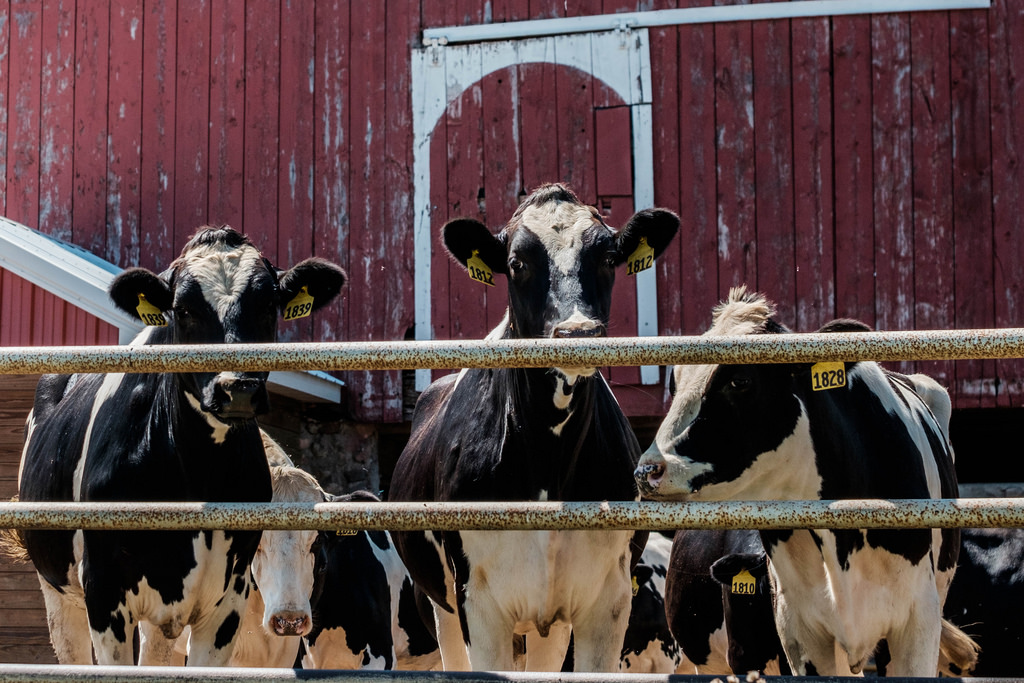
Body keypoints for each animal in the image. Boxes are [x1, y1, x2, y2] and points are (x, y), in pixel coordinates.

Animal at [16, 227, 346, 663]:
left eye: (267, 306)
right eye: (184, 310)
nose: (237, 388)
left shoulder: (228, 603)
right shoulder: (104, 593)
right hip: (57, 590)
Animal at [387, 183, 675, 671]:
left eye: (608, 257)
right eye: (517, 264)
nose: (577, 332)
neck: (548, 465)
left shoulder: (608, 598)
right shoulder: (477, 601)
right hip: (438, 605)